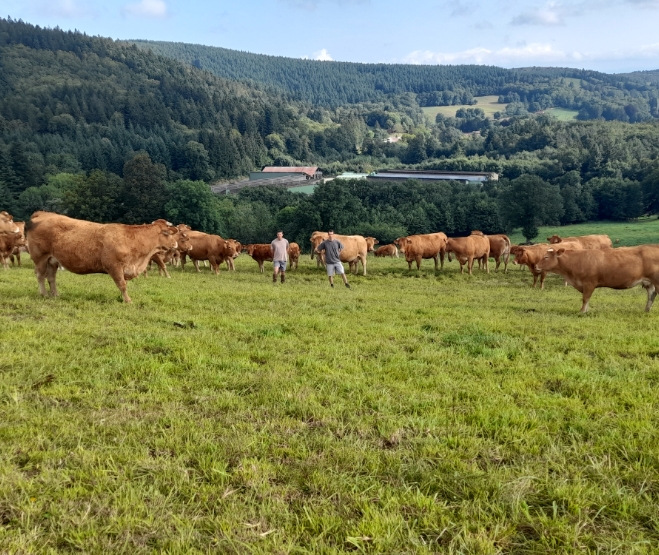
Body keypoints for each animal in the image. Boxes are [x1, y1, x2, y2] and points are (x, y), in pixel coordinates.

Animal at [25, 212, 179, 303]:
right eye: (168, 234)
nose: (176, 244)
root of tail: (43, 213)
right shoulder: (114, 266)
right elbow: (122, 284)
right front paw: (127, 300)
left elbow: (123, 284)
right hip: (40, 258)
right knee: (40, 275)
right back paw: (44, 294)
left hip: (53, 260)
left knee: (51, 277)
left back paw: (55, 294)